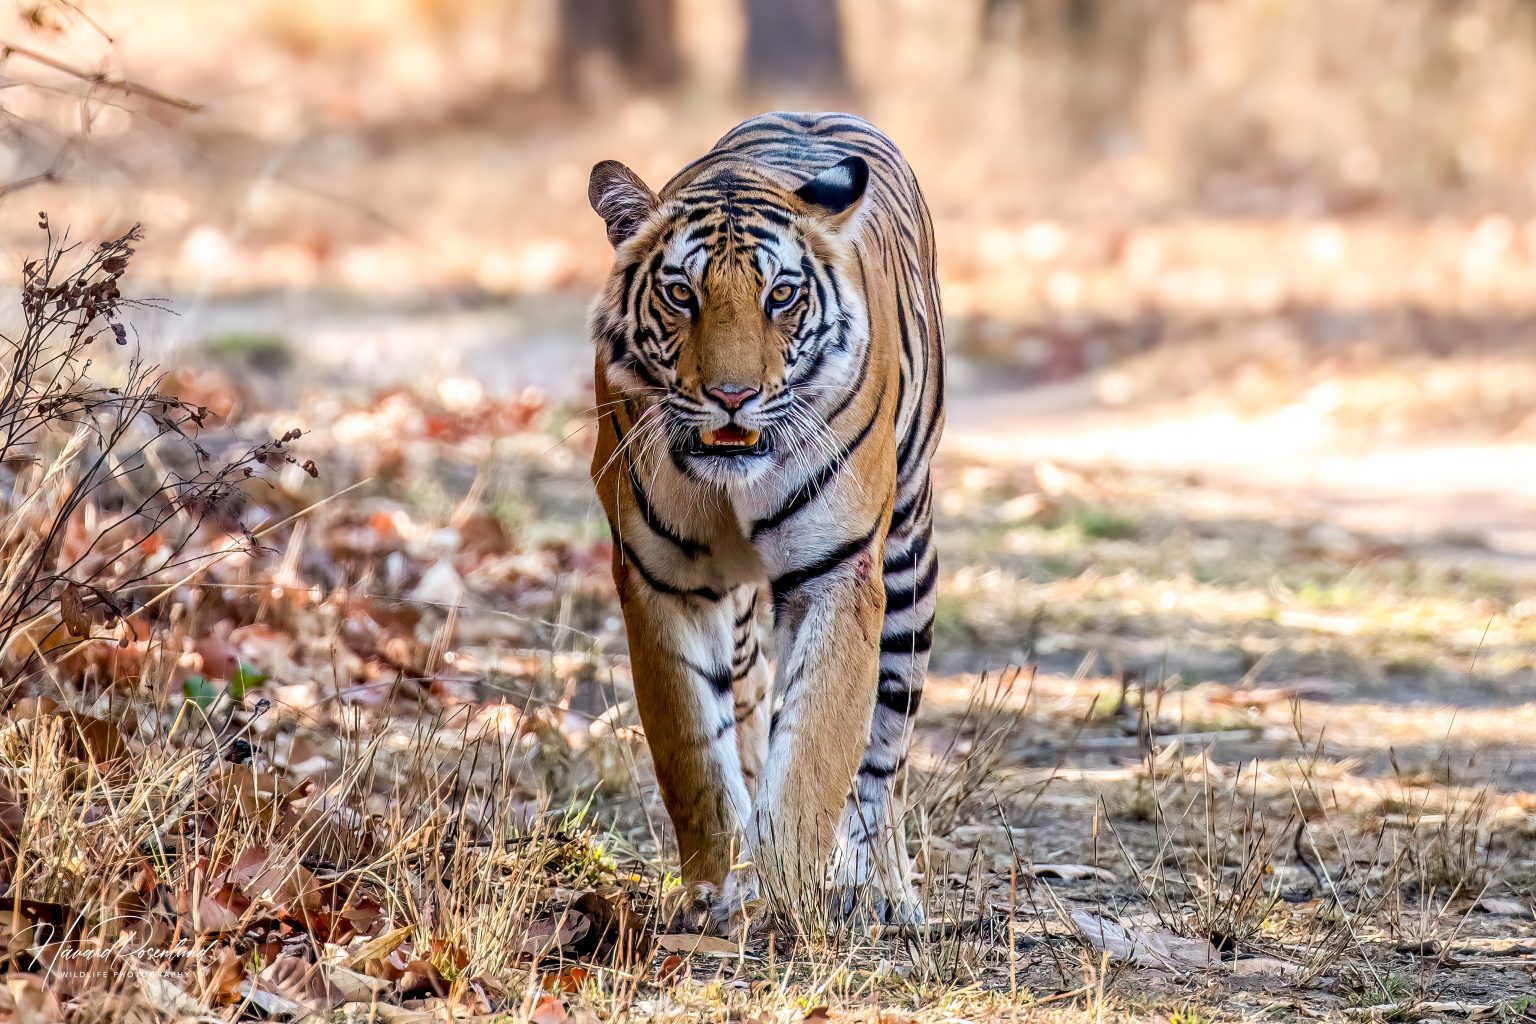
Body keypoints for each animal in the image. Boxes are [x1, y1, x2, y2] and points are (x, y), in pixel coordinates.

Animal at [586, 111, 943, 927]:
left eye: (781, 294)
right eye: (680, 293)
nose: (732, 396)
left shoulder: (838, 573)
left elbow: (815, 747)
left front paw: (790, 895)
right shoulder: (662, 579)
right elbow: (695, 748)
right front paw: (716, 890)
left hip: (908, 560)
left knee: (885, 750)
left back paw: (883, 890)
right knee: (747, 711)